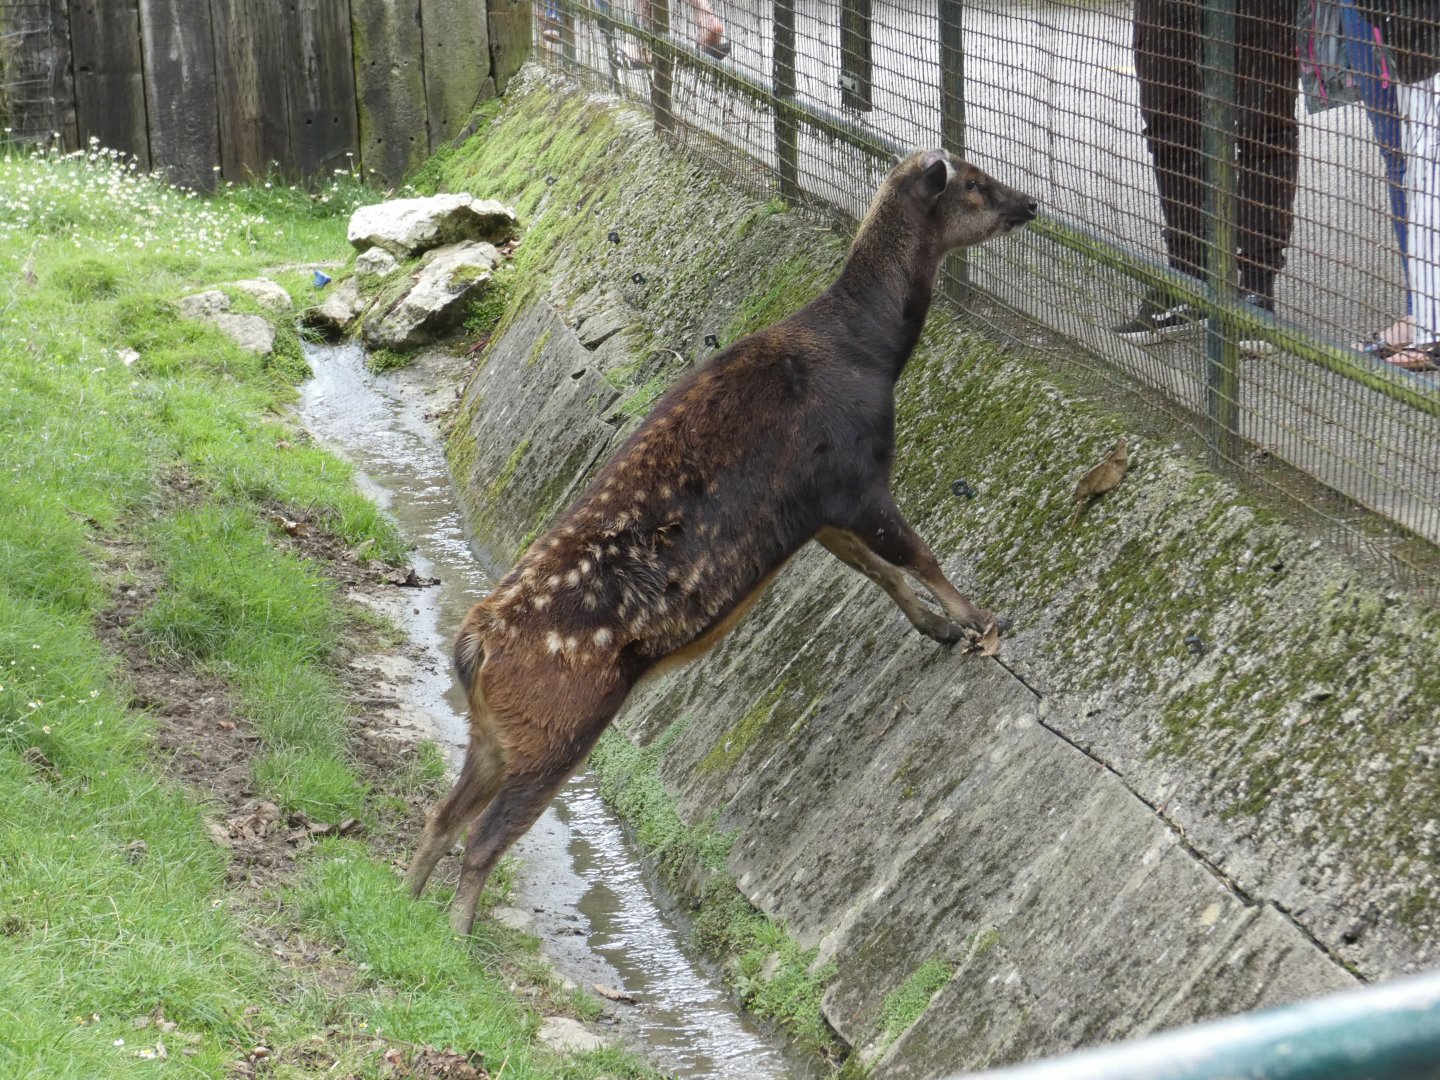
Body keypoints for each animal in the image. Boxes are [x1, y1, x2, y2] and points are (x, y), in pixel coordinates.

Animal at [406, 149, 1038, 933]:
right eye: (976, 183)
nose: (1031, 203)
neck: (871, 352)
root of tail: (474, 648)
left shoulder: (817, 511)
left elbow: (875, 569)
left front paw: (942, 629)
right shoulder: (855, 473)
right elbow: (914, 552)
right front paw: (982, 624)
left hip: (496, 735)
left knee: (442, 815)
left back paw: (405, 905)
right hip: (558, 729)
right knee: (485, 839)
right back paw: (455, 941)